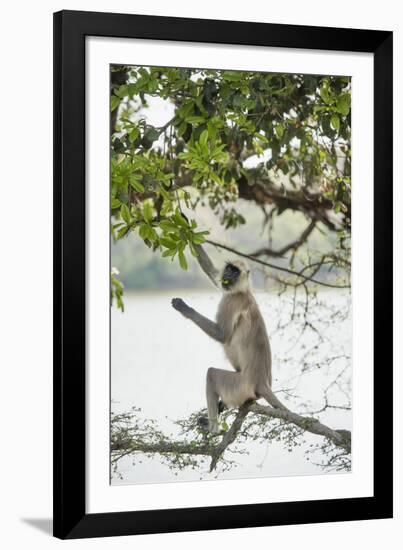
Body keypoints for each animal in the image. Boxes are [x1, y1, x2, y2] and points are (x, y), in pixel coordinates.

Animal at [172, 246, 286, 436]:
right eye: (228, 269)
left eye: (235, 272)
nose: (228, 275)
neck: (244, 291)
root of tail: (262, 382)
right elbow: (211, 271)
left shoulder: (231, 301)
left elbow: (222, 335)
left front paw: (186, 309)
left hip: (239, 386)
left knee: (212, 374)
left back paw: (213, 429)